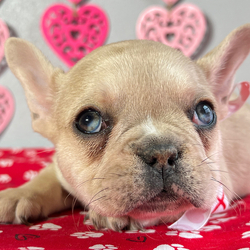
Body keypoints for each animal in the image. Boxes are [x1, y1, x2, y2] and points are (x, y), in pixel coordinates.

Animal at [1, 24, 250, 231]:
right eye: (88, 121)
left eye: (205, 113)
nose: (161, 152)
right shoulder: (60, 168)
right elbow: (46, 177)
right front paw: (19, 194)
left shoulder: (216, 187)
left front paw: (123, 216)